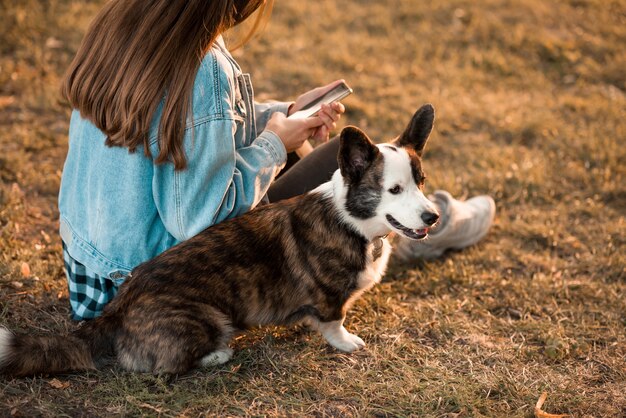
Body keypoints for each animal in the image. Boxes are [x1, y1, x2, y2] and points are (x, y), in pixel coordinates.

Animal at [0, 103, 436, 376]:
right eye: (394, 190)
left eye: (421, 182)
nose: (432, 216)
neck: (353, 221)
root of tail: (116, 311)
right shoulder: (329, 297)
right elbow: (334, 319)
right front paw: (347, 342)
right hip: (207, 319)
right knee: (165, 366)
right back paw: (219, 354)